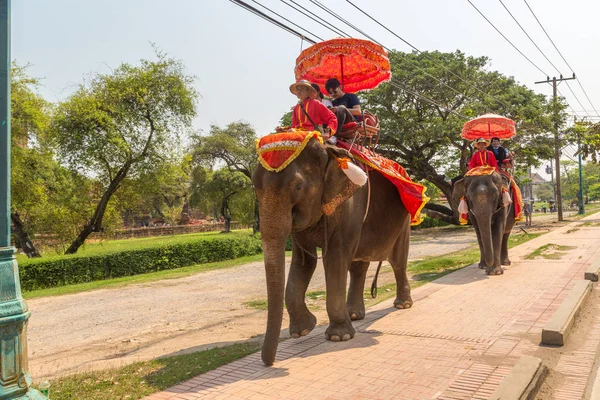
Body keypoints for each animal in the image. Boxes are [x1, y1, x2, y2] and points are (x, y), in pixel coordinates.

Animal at [253, 138, 422, 366]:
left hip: (404, 219)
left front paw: (338, 337)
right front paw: (303, 330)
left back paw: (402, 305)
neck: (328, 151)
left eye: (298, 186)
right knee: (358, 266)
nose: (269, 363)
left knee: (397, 261)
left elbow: (334, 258)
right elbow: (305, 261)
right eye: (254, 186)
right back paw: (354, 315)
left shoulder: (350, 205)